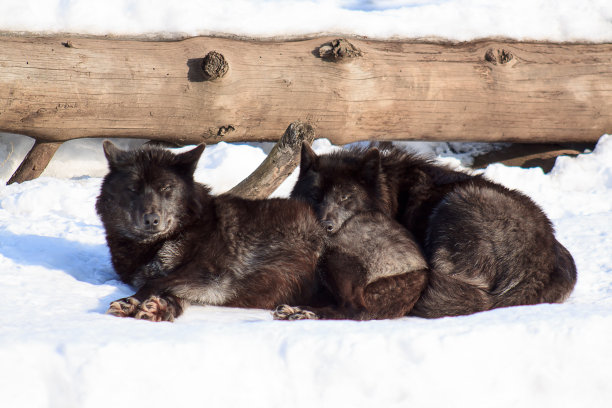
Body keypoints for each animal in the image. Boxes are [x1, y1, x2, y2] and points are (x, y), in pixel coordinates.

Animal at [97, 142, 326, 324]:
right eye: (133, 188)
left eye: (166, 187)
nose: (152, 220)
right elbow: (173, 294)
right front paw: (161, 308)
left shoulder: (213, 275)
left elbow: (155, 283)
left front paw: (130, 302)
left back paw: (301, 313)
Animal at [274, 148, 428, 320]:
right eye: (315, 196)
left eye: (344, 197)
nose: (325, 226)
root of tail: (421, 270)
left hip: (335, 259)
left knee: (355, 310)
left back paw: (304, 313)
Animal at [290, 143, 576, 318]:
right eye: (315, 196)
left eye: (346, 198)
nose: (325, 226)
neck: (390, 191)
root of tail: (541, 268)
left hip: (459, 199)